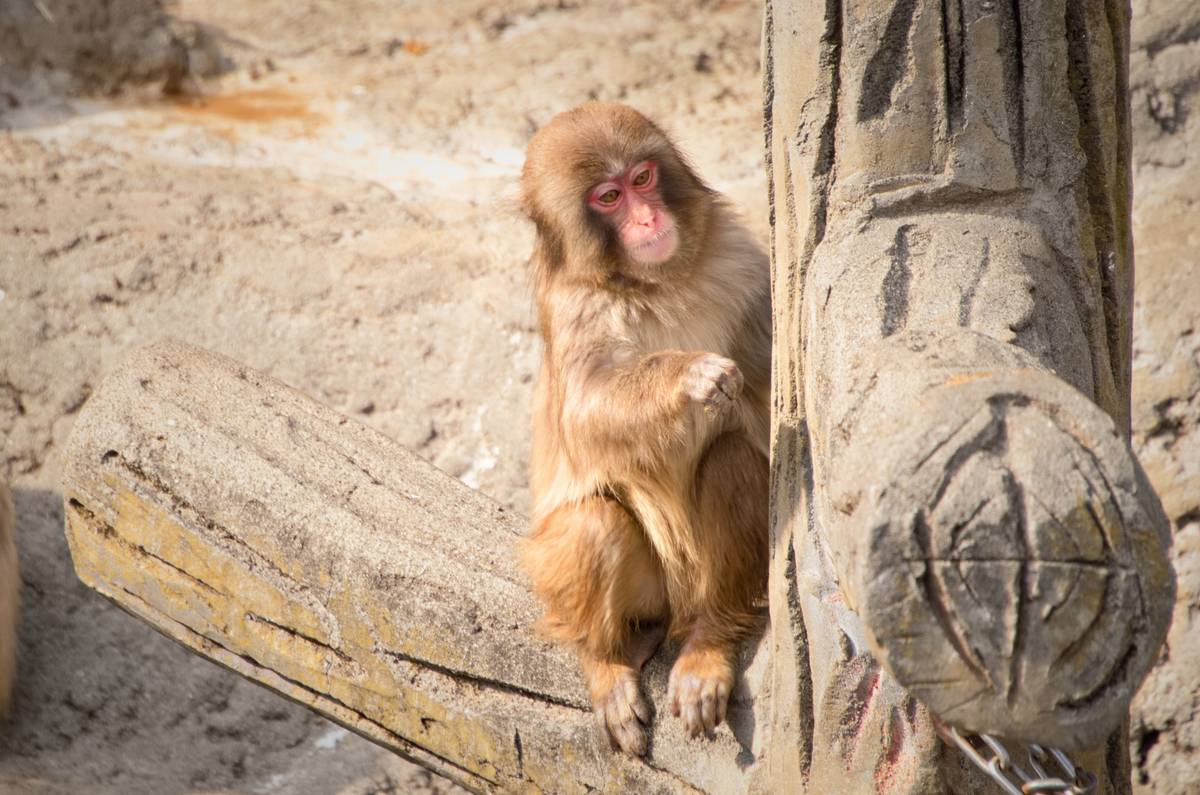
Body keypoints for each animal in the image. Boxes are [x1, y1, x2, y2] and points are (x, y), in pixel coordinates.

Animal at [519, 102, 770, 756]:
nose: (648, 216)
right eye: (608, 197)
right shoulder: (573, 307)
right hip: (640, 589)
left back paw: (710, 640)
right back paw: (606, 660)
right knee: (592, 523)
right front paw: (691, 375)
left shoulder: (743, 264)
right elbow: (586, 411)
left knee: (732, 462)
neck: (652, 283)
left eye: (643, 178)